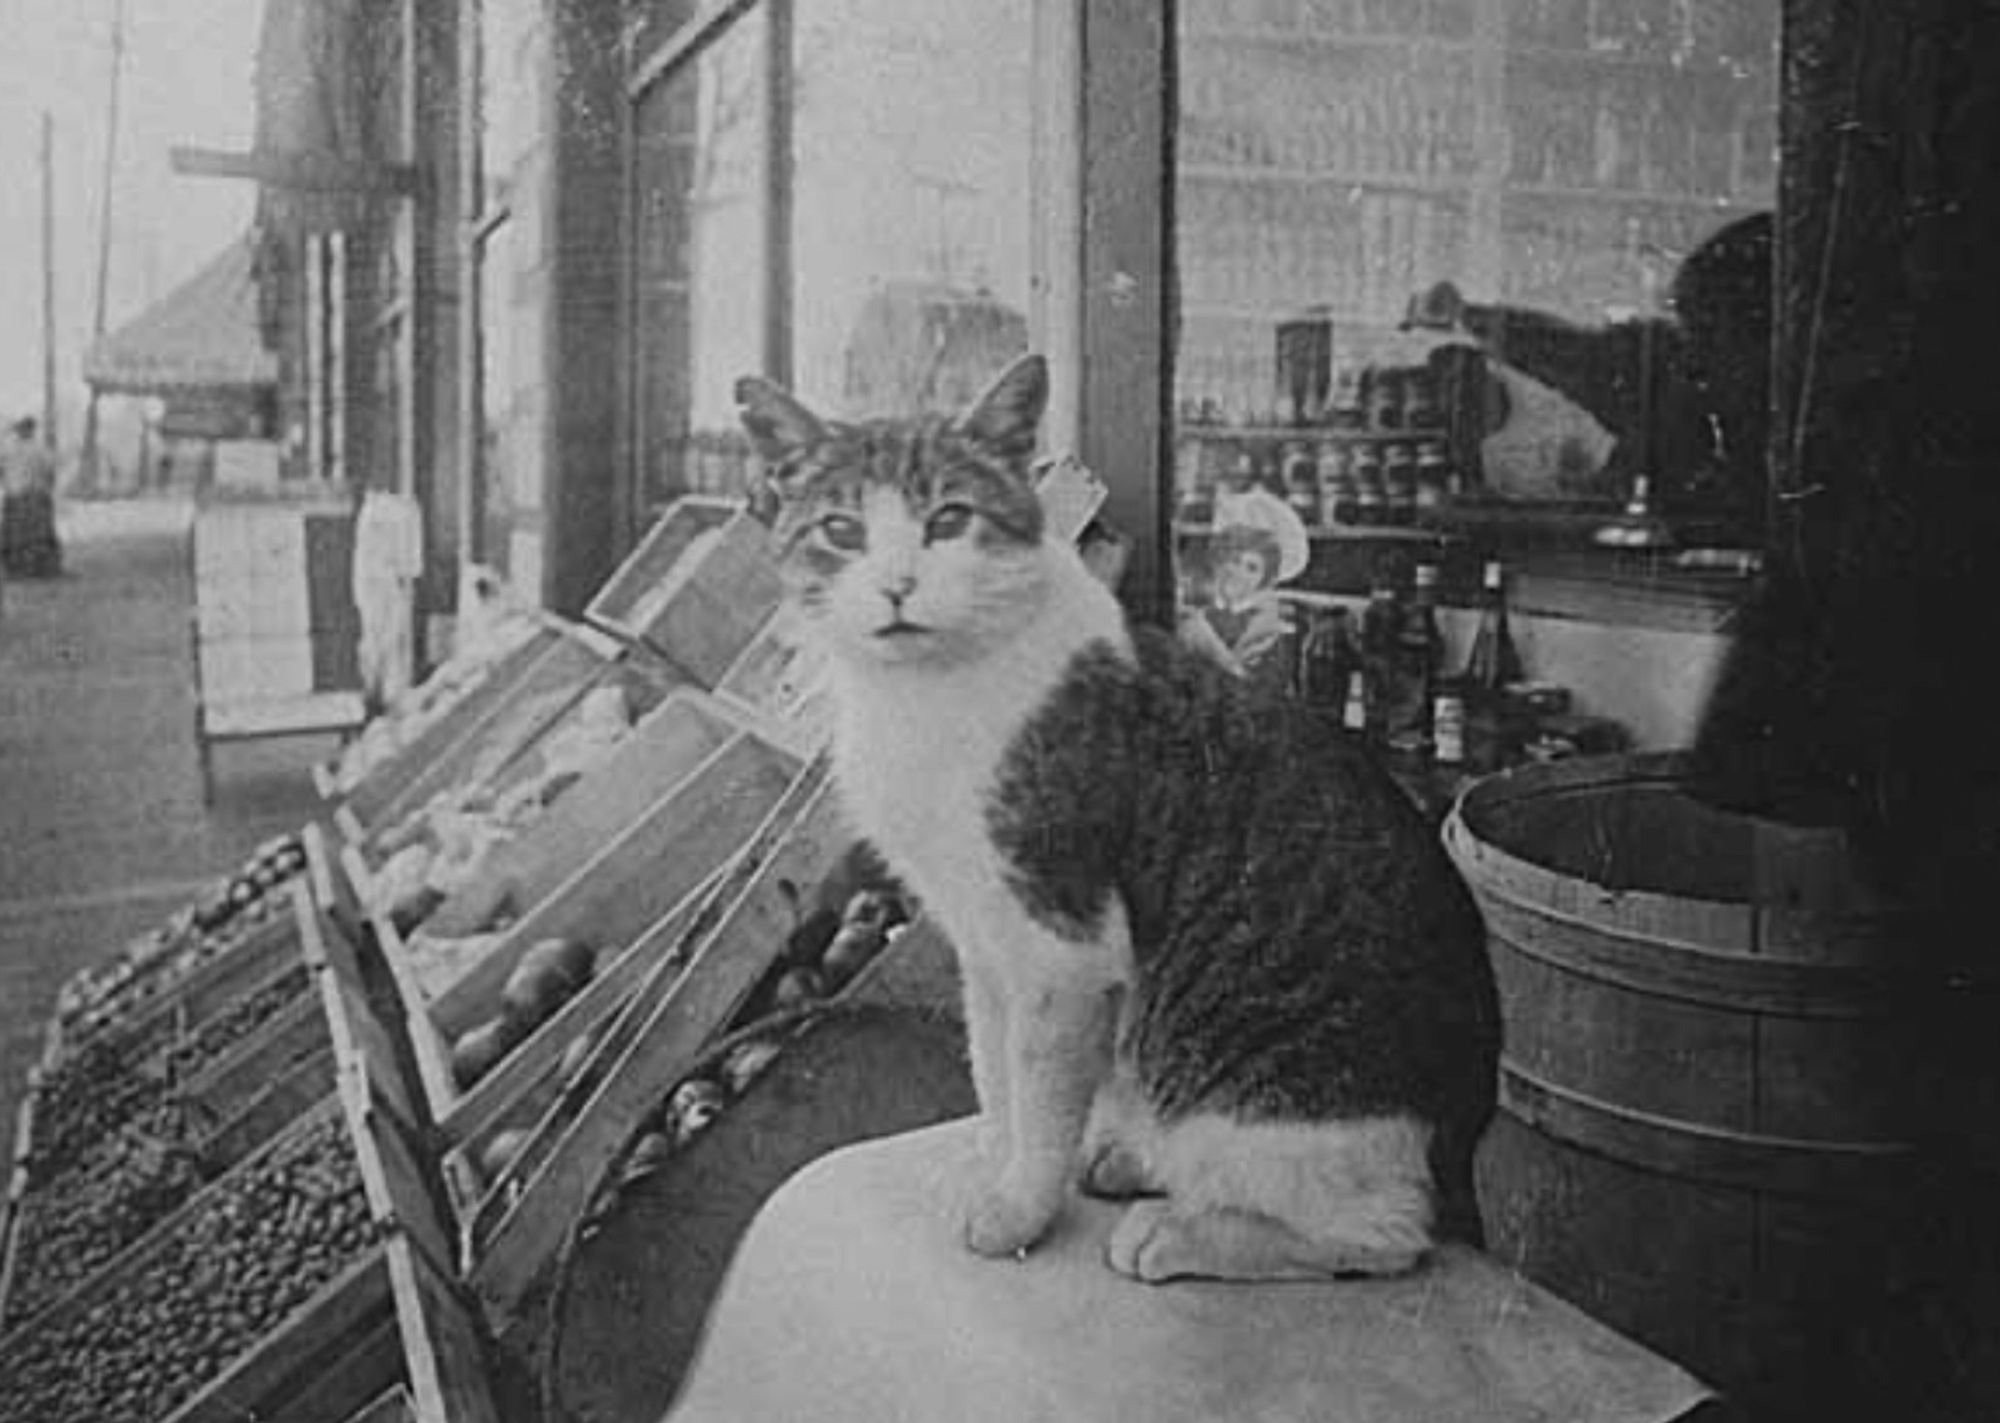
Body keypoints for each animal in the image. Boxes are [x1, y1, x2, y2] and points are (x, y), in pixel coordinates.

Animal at [740, 353, 1504, 1279]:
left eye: (949, 519)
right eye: (841, 529)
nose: (896, 586)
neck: (925, 693)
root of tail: (1468, 1131)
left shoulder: (1061, 945)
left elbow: (1038, 1096)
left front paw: (1018, 1209)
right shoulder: (984, 943)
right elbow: (994, 1075)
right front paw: (991, 1166)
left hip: (1274, 1107)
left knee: (1388, 1234)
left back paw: (1179, 1229)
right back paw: (1126, 1159)